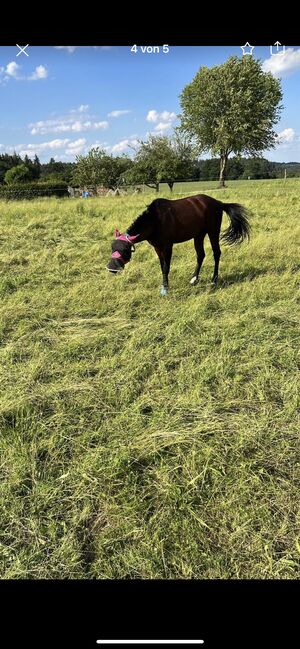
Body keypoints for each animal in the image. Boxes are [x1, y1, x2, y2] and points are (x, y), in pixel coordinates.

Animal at [106, 191, 251, 294]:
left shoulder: (168, 246)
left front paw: (165, 288)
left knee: (216, 253)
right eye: (112, 248)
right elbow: (162, 266)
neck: (155, 220)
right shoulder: (157, 248)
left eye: (125, 250)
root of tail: (218, 203)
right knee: (200, 255)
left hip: (213, 231)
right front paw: (164, 285)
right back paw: (194, 279)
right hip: (198, 235)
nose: (111, 268)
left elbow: (166, 267)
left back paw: (214, 280)